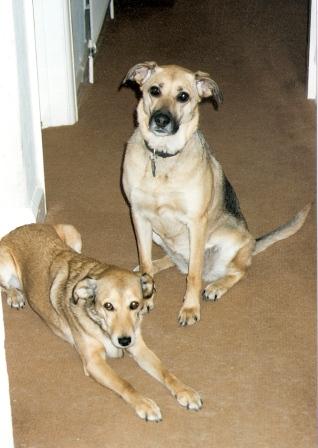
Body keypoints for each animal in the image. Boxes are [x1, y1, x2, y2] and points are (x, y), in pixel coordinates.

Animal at [0, 226, 202, 422]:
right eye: (108, 306)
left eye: (134, 304)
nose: (124, 341)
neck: (101, 327)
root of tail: (17, 229)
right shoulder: (94, 361)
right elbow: (125, 384)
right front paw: (144, 404)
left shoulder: (139, 348)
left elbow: (166, 372)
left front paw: (186, 391)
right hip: (5, 266)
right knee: (5, 286)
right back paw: (15, 296)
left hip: (73, 233)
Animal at [120, 62, 310, 326]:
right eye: (154, 90)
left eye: (183, 96)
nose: (161, 120)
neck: (163, 157)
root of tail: (253, 242)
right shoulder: (138, 215)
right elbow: (146, 260)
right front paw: (146, 294)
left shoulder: (195, 222)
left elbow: (194, 276)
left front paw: (190, 308)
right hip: (157, 235)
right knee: (172, 260)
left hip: (231, 241)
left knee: (234, 271)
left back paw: (216, 286)